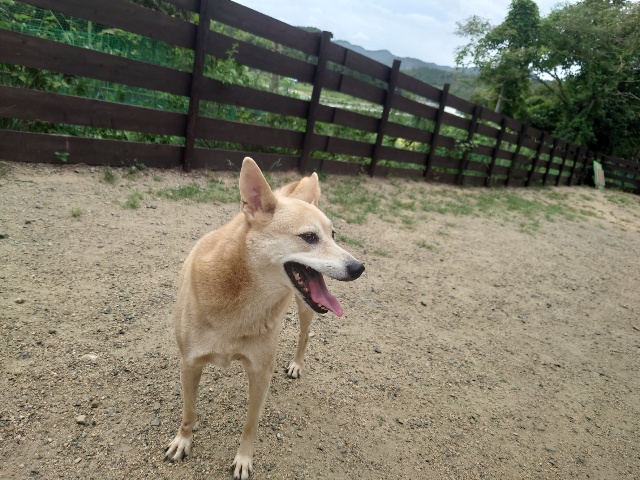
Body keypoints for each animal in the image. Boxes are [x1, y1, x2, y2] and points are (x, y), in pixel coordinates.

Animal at [165, 157, 365, 479]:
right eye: (310, 237)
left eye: (333, 235)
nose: (358, 268)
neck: (241, 294)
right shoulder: (189, 364)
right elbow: (189, 412)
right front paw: (183, 441)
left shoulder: (260, 373)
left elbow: (251, 423)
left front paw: (243, 459)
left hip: (305, 310)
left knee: (304, 336)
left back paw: (296, 364)